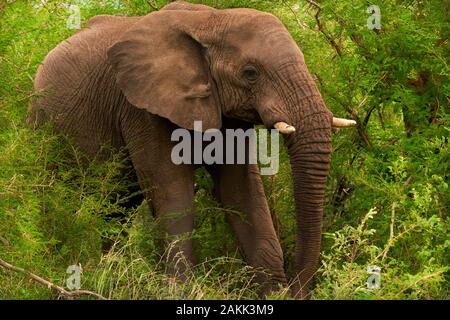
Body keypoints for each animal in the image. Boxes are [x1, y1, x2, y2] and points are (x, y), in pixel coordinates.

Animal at [29, 1, 356, 298]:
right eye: (250, 73)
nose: (297, 288)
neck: (210, 20)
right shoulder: (142, 106)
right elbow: (172, 188)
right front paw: (180, 292)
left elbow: (241, 190)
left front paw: (272, 293)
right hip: (41, 122)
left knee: (115, 207)